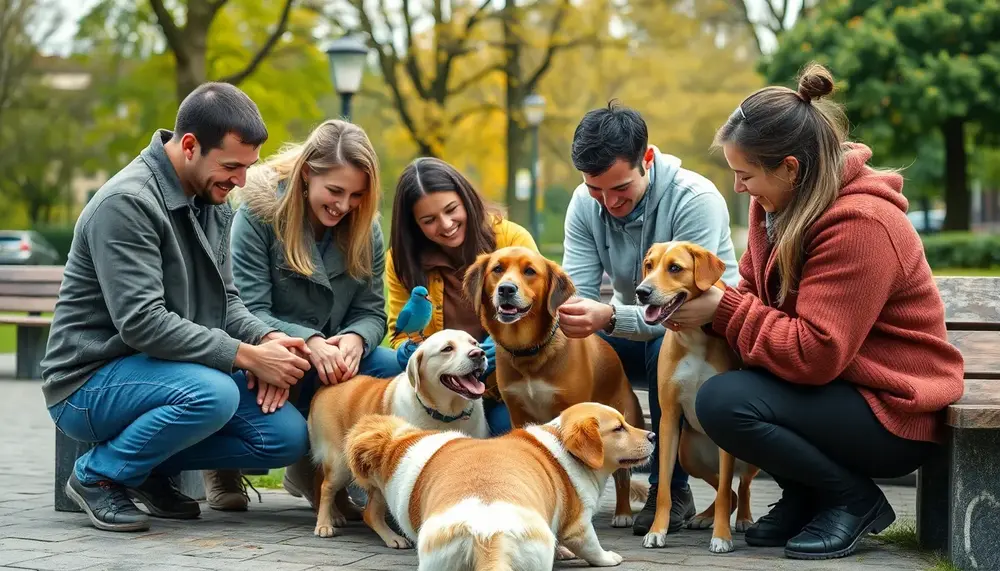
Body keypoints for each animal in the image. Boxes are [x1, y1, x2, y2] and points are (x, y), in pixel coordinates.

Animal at [306, 328, 490, 548]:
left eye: (475, 343)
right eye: (447, 348)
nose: (479, 354)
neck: (445, 415)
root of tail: (327, 385)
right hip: (340, 463)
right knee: (329, 489)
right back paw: (326, 524)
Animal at [344, 402, 656, 571]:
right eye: (618, 428)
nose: (653, 435)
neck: (561, 443)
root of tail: (488, 535)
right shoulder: (579, 525)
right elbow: (591, 546)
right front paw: (608, 558)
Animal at [462, 247, 648, 532]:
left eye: (529, 271)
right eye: (497, 269)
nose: (506, 289)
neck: (529, 351)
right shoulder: (517, 413)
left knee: (623, 474)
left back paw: (623, 513)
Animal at [632, 241, 756, 556]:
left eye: (675, 268)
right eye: (649, 265)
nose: (641, 291)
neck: (694, 337)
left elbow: (725, 493)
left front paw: (722, 536)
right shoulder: (669, 419)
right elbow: (664, 488)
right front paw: (657, 531)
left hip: (748, 460)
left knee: (740, 488)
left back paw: (745, 519)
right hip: (688, 454)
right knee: (730, 490)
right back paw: (702, 518)